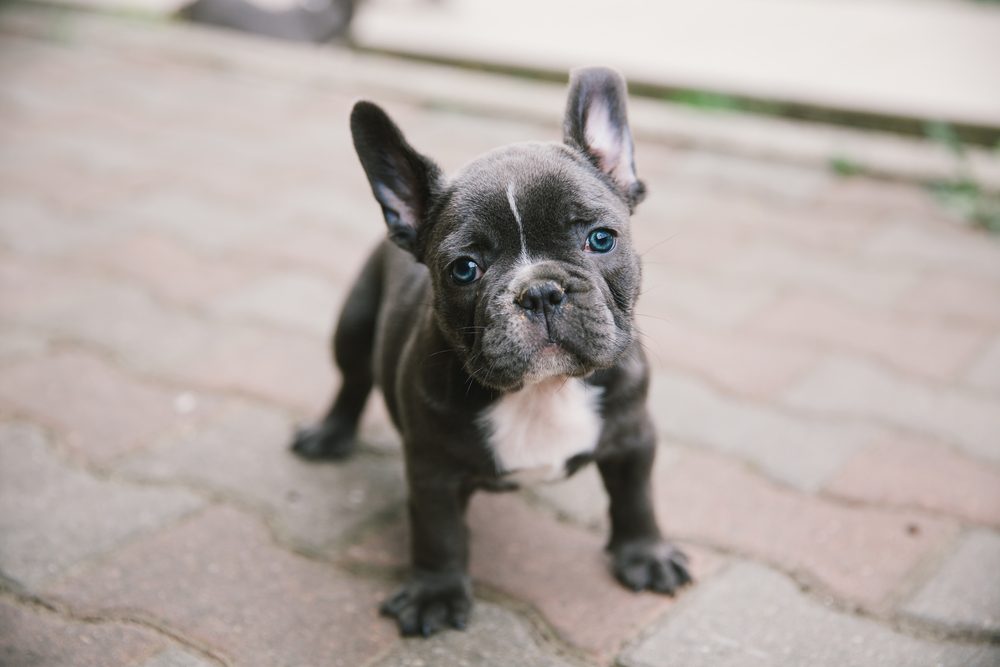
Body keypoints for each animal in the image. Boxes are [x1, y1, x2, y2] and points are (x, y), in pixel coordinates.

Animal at [292, 66, 692, 636]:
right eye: (464, 269)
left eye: (601, 239)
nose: (540, 291)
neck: (543, 392)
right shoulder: (431, 471)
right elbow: (439, 534)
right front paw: (436, 593)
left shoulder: (634, 435)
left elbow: (636, 498)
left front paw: (645, 554)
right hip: (353, 323)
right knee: (352, 380)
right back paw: (329, 435)